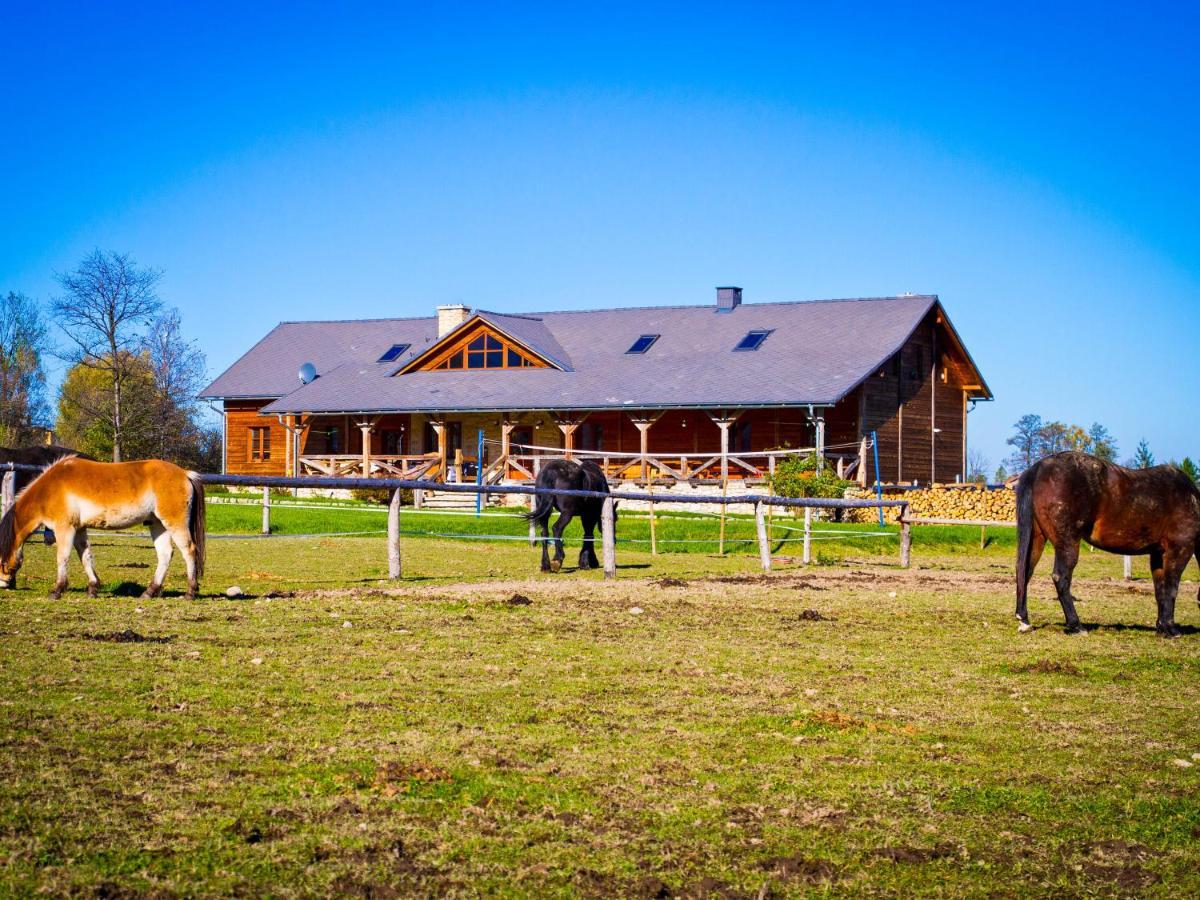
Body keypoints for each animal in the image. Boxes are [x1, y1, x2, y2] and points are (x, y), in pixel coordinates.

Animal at [0, 458, 207, 600]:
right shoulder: (79, 529)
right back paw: (150, 592)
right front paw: (93, 588)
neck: (49, 489)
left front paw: (57, 590)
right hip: (157, 524)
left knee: (189, 551)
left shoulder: (65, 528)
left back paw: (190, 592)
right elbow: (85, 557)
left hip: (174, 523)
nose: (2, 584)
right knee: (164, 554)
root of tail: (185, 474)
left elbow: (63, 557)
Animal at [1012, 453, 1200, 638]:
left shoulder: (1158, 554)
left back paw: (1024, 621)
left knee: (1025, 572)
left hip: (1037, 538)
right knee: (1061, 578)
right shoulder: (1180, 549)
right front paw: (1171, 629)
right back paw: (1076, 625)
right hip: (1067, 543)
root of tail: (1038, 468)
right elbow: (1171, 587)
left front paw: (1161, 627)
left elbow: (1160, 590)